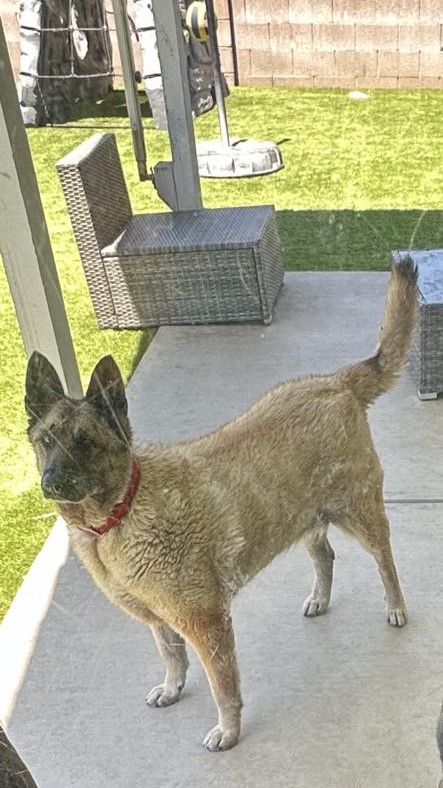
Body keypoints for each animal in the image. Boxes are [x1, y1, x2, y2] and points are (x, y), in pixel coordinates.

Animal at [26, 258, 418, 752]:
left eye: (85, 442)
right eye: (45, 441)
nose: (52, 483)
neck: (120, 512)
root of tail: (335, 381)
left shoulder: (206, 623)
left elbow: (222, 685)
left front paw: (228, 731)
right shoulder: (159, 620)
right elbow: (172, 657)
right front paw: (173, 688)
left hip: (359, 511)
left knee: (386, 559)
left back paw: (396, 605)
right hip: (299, 516)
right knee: (325, 555)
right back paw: (320, 599)